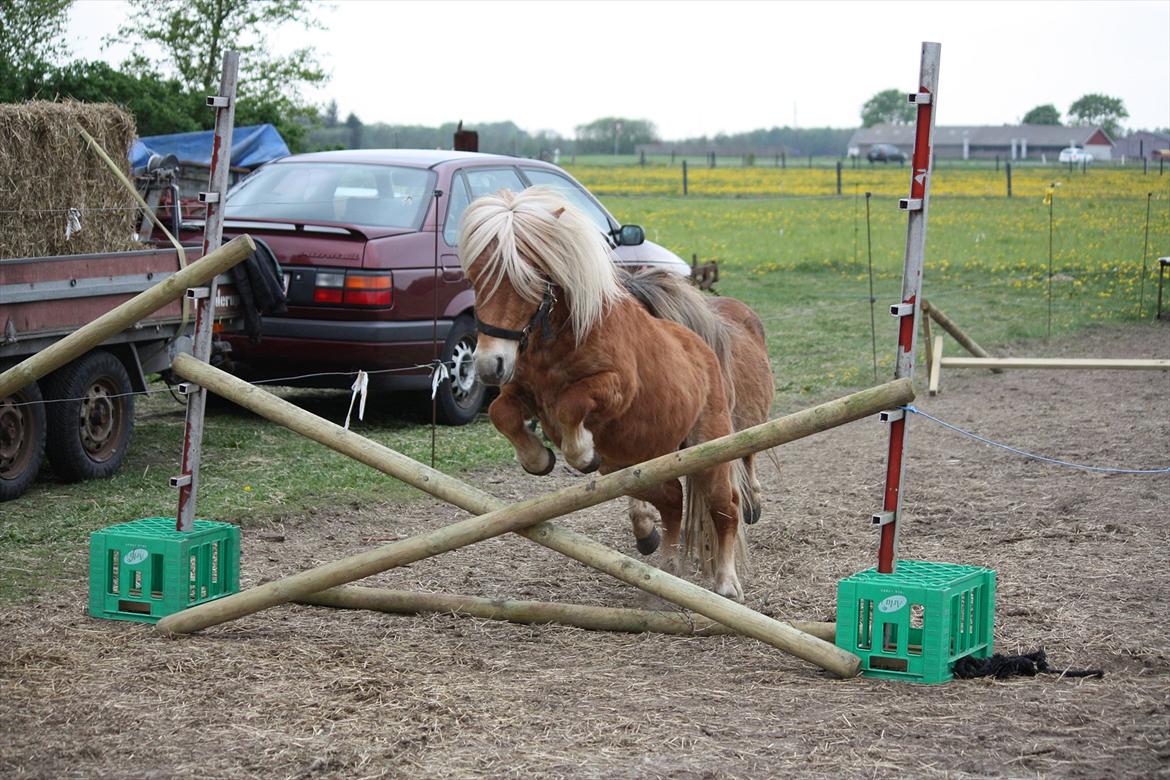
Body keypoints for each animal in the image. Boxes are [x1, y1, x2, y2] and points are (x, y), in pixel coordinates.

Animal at [458, 187, 776, 598]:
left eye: (524, 278)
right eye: (475, 276)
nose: (488, 364)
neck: (564, 337)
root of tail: (703, 347)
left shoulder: (616, 388)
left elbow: (572, 403)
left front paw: (580, 452)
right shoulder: (521, 392)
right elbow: (503, 414)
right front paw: (538, 458)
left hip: (708, 450)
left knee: (725, 506)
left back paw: (726, 582)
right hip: (635, 466)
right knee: (672, 500)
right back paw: (666, 569)